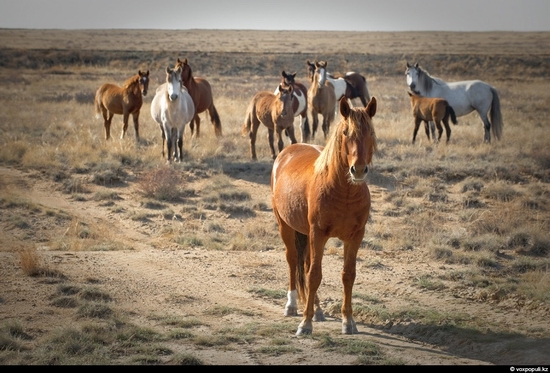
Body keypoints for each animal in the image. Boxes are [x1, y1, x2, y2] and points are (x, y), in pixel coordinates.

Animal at [272, 96, 380, 334]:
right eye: (346, 133)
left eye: (371, 132)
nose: (358, 170)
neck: (344, 192)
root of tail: (287, 151)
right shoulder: (318, 233)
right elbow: (314, 276)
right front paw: (305, 323)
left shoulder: (355, 236)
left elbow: (348, 275)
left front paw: (348, 321)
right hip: (286, 226)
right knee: (293, 260)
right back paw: (292, 305)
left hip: (306, 234)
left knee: (305, 263)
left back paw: (318, 309)